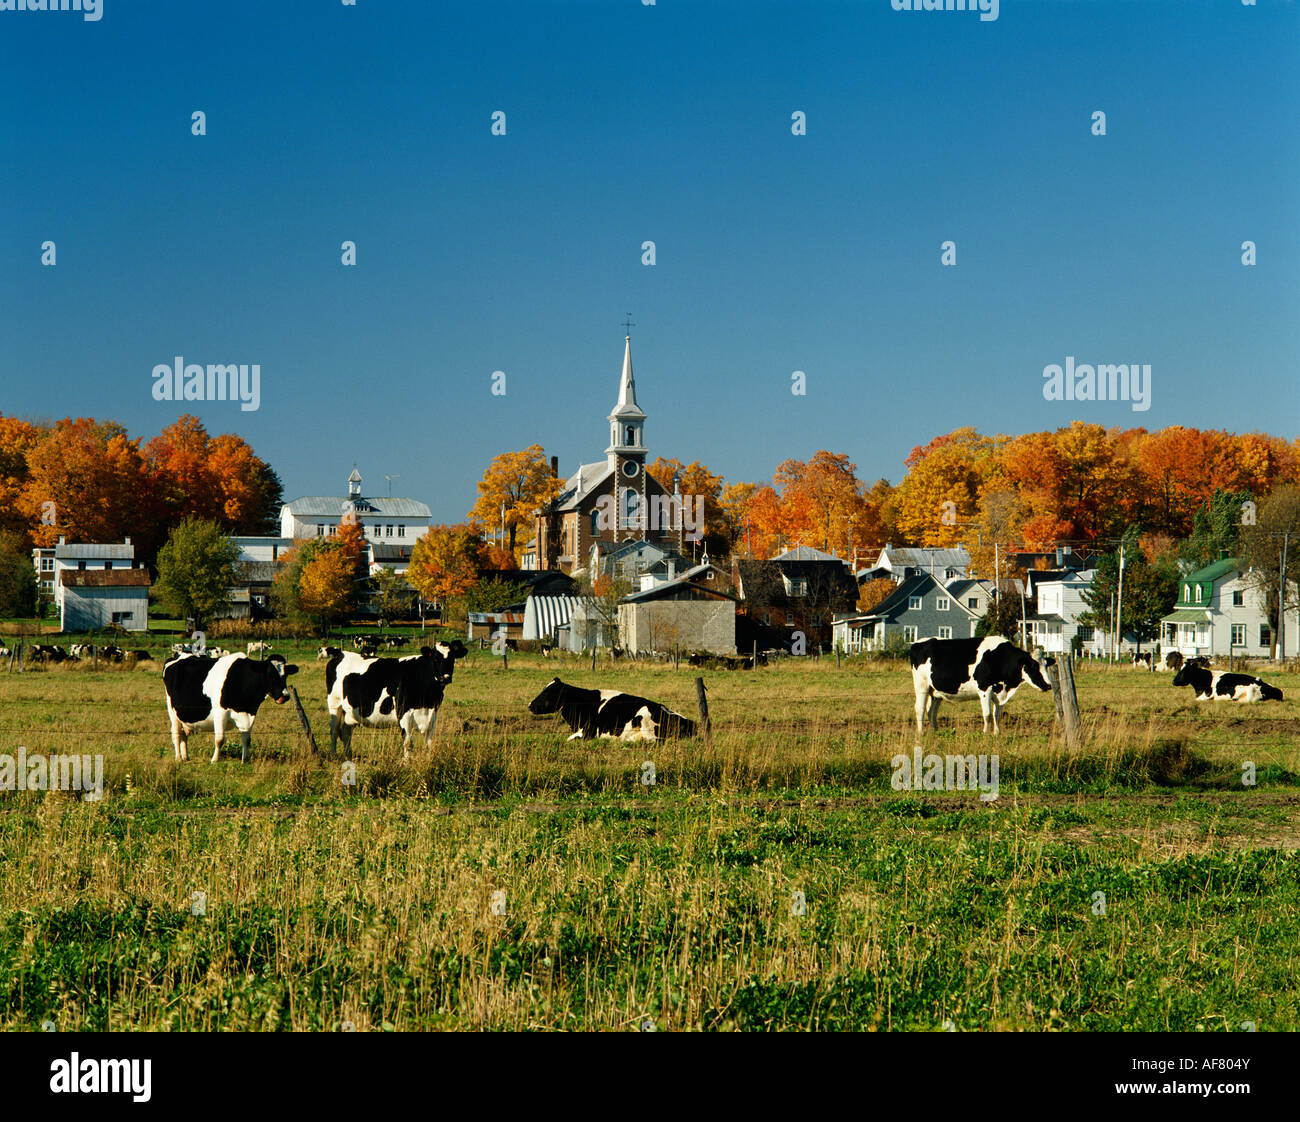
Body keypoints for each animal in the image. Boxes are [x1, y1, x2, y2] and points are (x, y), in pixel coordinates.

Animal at [162, 650, 299, 764]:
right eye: (270, 674)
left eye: (285, 675)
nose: (285, 696)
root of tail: (178, 656)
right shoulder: (220, 712)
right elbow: (220, 739)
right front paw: (214, 760)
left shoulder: (250, 713)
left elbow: (246, 739)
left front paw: (245, 760)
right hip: (172, 711)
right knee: (176, 734)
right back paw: (178, 758)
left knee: (184, 735)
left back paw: (186, 757)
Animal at [325, 639, 473, 764]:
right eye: (435, 658)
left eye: (453, 658)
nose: (445, 678)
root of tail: (341, 653)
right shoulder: (403, 712)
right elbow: (408, 743)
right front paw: (407, 765)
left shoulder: (433, 712)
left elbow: (429, 742)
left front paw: (428, 761)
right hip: (335, 704)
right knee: (334, 730)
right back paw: (333, 756)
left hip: (351, 711)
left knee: (346, 732)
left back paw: (350, 756)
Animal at [904, 639, 1055, 738]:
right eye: (1033, 666)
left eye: (1046, 665)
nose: (1049, 685)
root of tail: (917, 643)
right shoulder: (984, 690)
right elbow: (987, 715)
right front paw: (985, 734)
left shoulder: (999, 693)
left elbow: (997, 714)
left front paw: (997, 733)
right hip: (921, 686)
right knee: (920, 709)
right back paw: (920, 733)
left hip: (935, 692)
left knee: (931, 711)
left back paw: (936, 731)